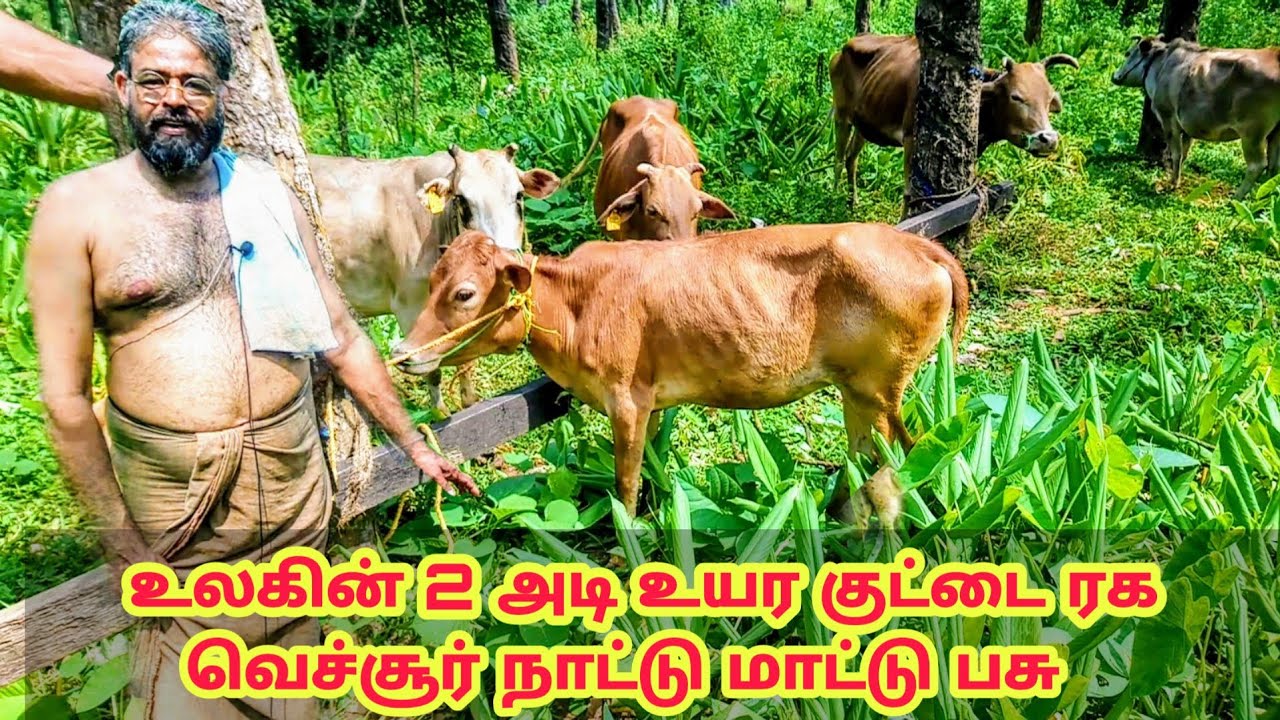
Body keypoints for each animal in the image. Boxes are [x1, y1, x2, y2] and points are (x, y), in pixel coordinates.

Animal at [309, 144, 560, 414]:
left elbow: (466, 363)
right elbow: (429, 370)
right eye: (461, 200)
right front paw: (440, 414)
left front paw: (469, 403)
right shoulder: (408, 306)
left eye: (519, 195)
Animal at [389, 224, 969, 530]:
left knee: (903, 453)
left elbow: (624, 481)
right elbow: (649, 467)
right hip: (856, 392)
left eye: (465, 292)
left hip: (883, 388)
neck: (577, 303)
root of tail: (915, 245)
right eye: (432, 280)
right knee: (862, 455)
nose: (401, 353)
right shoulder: (650, 403)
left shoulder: (625, 400)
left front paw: (628, 539)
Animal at [830, 34, 1079, 205]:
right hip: (841, 116)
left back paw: (852, 203)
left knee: (851, 158)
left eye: (1049, 98)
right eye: (1016, 96)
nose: (1048, 139)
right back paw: (832, 200)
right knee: (839, 158)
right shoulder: (911, 140)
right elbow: (910, 194)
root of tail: (843, 48)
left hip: (864, 124)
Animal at [1111, 36, 1280, 199]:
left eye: (1127, 53)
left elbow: (1176, 154)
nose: (1114, 76)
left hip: (1252, 133)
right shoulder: (1188, 126)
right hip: (1275, 132)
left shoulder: (1168, 118)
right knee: (1274, 165)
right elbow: (1184, 154)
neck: (1161, 65)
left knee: (1257, 165)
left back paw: (1236, 198)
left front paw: (1173, 183)